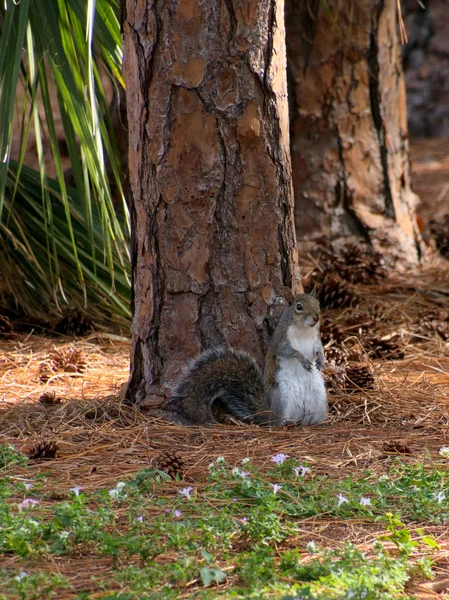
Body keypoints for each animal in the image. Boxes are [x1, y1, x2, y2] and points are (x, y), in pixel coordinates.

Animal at [161, 290, 326, 426]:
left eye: (318, 303)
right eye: (299, 307)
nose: (316, 318)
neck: (303, 330)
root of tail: (268, 412)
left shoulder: (314, 339)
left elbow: (318, 349)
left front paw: (321, 359)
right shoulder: (280, 340)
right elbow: (286, 351)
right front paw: (302, 358)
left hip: (319, 397)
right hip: (284, 395)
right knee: (277, 423)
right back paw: (284, 423)